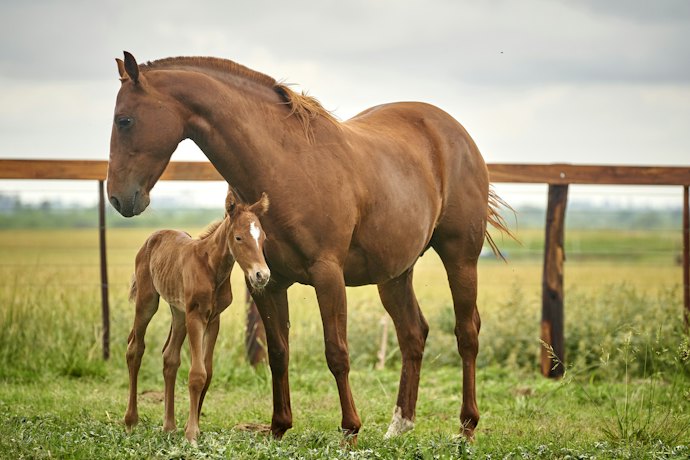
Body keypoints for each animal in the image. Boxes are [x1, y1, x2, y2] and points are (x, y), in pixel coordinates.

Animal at [124, 189, 270, 442]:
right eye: (239, 238)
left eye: (262, 238)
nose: (262, 275)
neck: (211, 267)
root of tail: (154, 236)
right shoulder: (196, 316)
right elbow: (197, 373)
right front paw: (191, 433)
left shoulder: (213, 319)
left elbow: (208, 372)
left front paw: (194, 427)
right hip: (147, 301)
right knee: (135, 348)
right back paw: (131, 421)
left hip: (178, 312)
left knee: (170, 357)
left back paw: (169, 426)